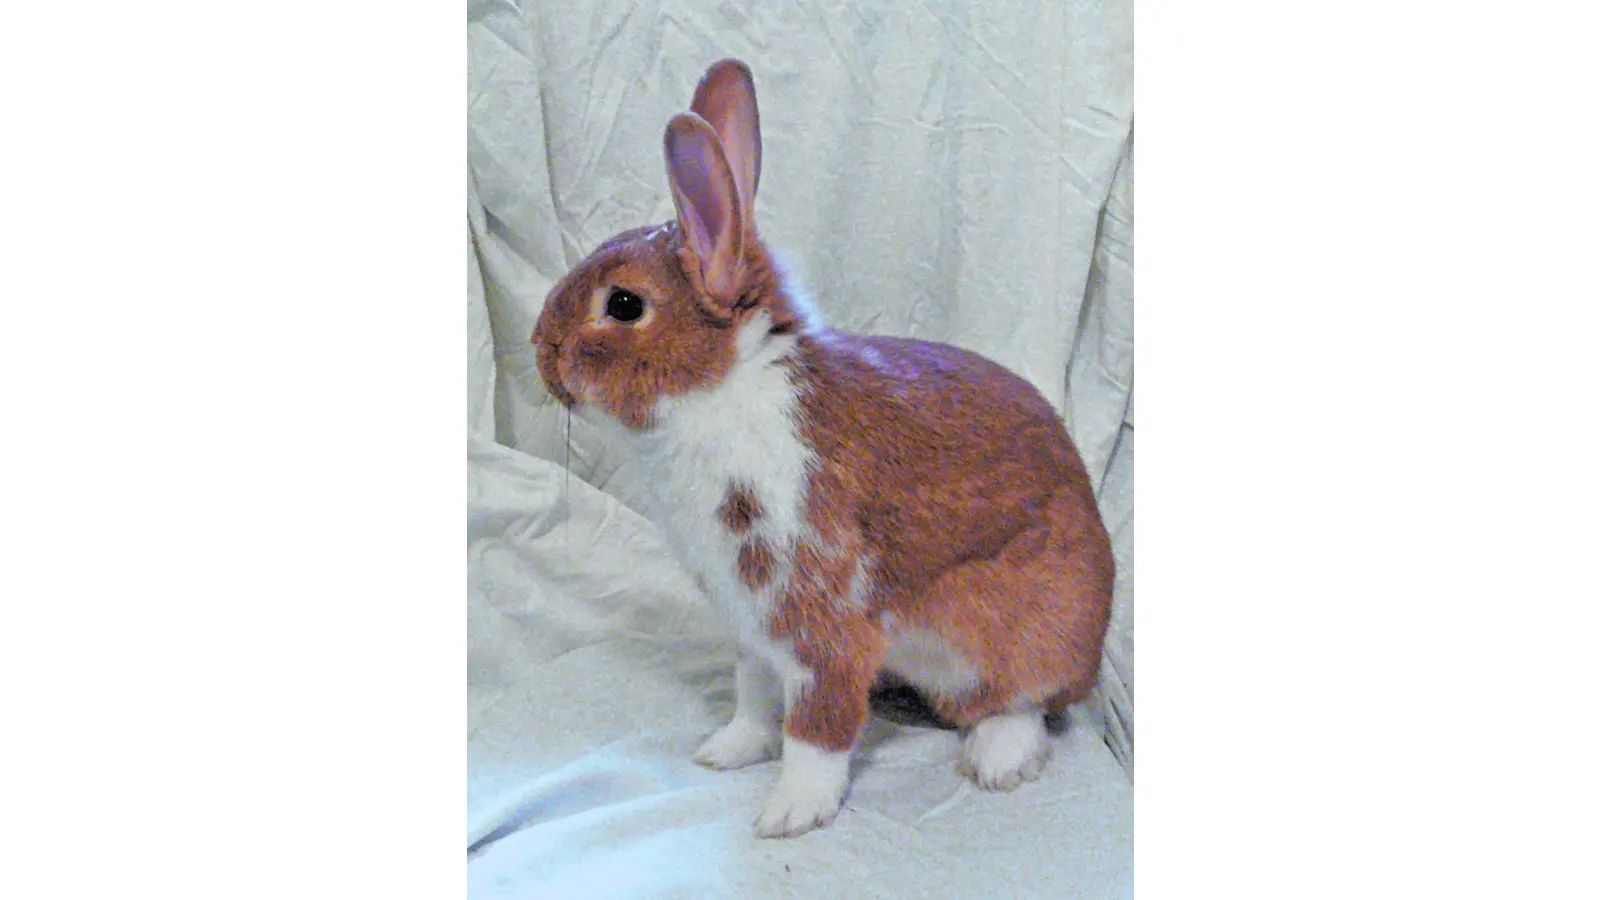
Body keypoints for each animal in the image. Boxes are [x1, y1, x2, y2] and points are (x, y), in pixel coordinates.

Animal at [532, 59, 1114, 838]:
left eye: (623, 305)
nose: (540, 348)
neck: (726, 389)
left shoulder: (818, 617)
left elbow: (817, 727)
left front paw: (789, 813)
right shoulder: (751, 626)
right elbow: (754, 698)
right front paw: (725, 752)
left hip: (1014, 632)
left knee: (1021, 701)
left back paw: (996, 759)